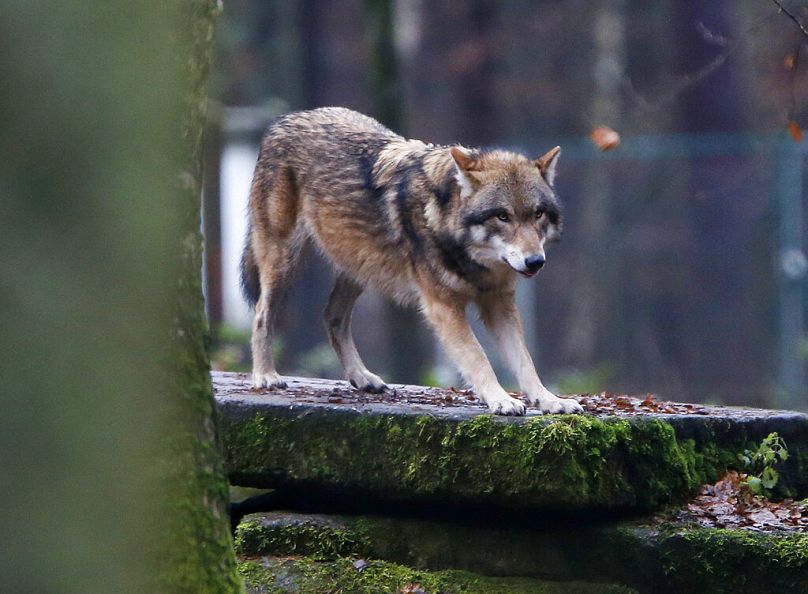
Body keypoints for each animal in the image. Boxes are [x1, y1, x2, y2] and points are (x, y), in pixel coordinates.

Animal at [240, 106, 580, 414]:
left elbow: (525, 361)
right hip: (285, 262)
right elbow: (478, 356)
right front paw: (501, 400)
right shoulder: (443, 307)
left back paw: (362, 377)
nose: (535, 261)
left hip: (360, 267)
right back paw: (265, 375)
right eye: (503, 216)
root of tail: (286, 119)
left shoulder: (500, 304)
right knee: (262, 315)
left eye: (537, 214)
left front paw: (549, 400)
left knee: (332, 317)